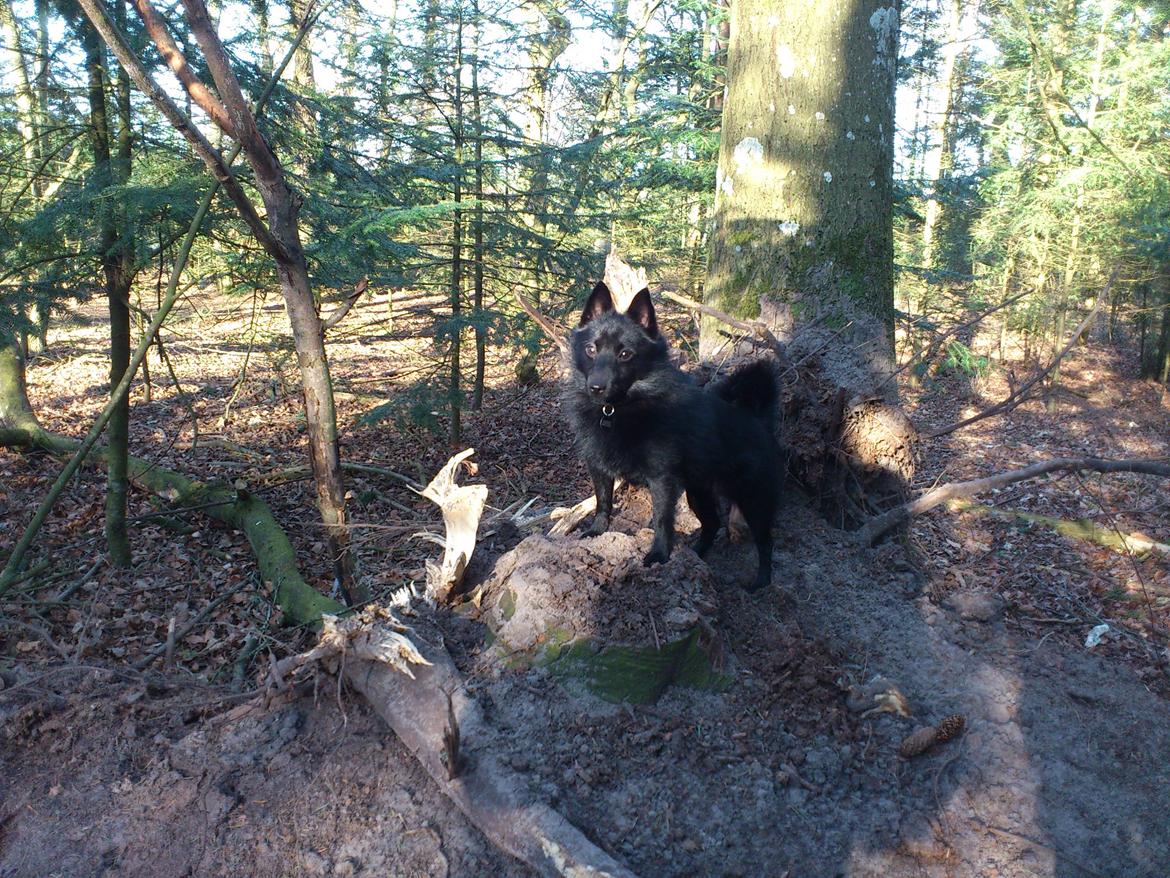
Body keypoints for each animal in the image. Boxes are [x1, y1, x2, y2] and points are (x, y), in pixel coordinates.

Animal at [561, 285, 781, 594]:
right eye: (591, 349)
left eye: (625, 354)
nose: (596, 387)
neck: (618, 409)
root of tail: (757, 419)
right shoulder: (599, 468)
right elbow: (603, 502)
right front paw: (596, 531)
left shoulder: (662, 479)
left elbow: (662, 519)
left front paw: (659, 555)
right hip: (699, 491)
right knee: (712, 524)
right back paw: (696, 556)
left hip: (753, 498)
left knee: (765, 541)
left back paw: (761, 583)